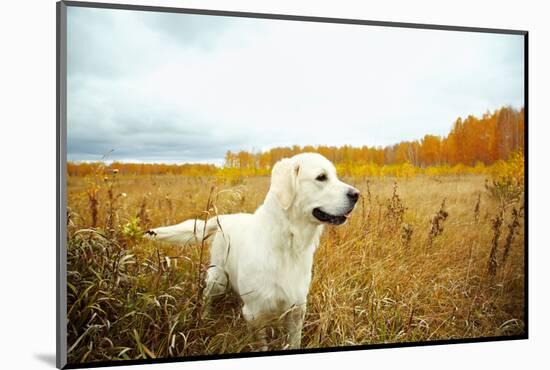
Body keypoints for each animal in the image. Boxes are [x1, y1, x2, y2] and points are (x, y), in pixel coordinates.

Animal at [147, 152, 360, 350]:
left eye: (334, 175)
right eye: (321, 177)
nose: (357, 194)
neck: (288, 243)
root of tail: (223, 218)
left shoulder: (297, 309)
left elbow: (294, 342)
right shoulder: (254, 313)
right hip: (218, 278)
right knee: (207, 295)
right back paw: (205, 317)